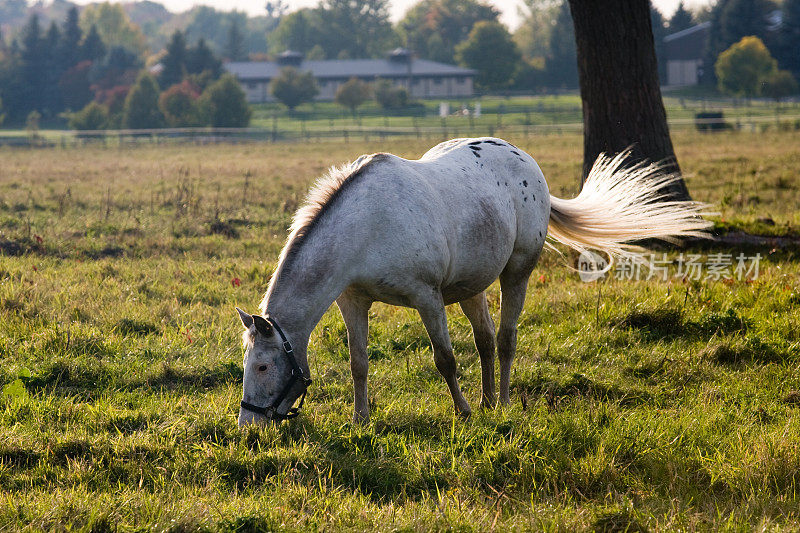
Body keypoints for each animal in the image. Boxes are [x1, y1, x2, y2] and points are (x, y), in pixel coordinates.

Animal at [234, 136, 708, 424]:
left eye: (262, 365)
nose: (248, 424)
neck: (367, 224)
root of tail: (525, 160)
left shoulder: (426, 298)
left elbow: (444, 359)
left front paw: (461, 412)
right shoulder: (353, 301)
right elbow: (359, 363)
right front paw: (360, 420)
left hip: (517, 273)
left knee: (506, 339)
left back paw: (502, 402)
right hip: (471, 288)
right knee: (484, 340)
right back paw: (487, 401)